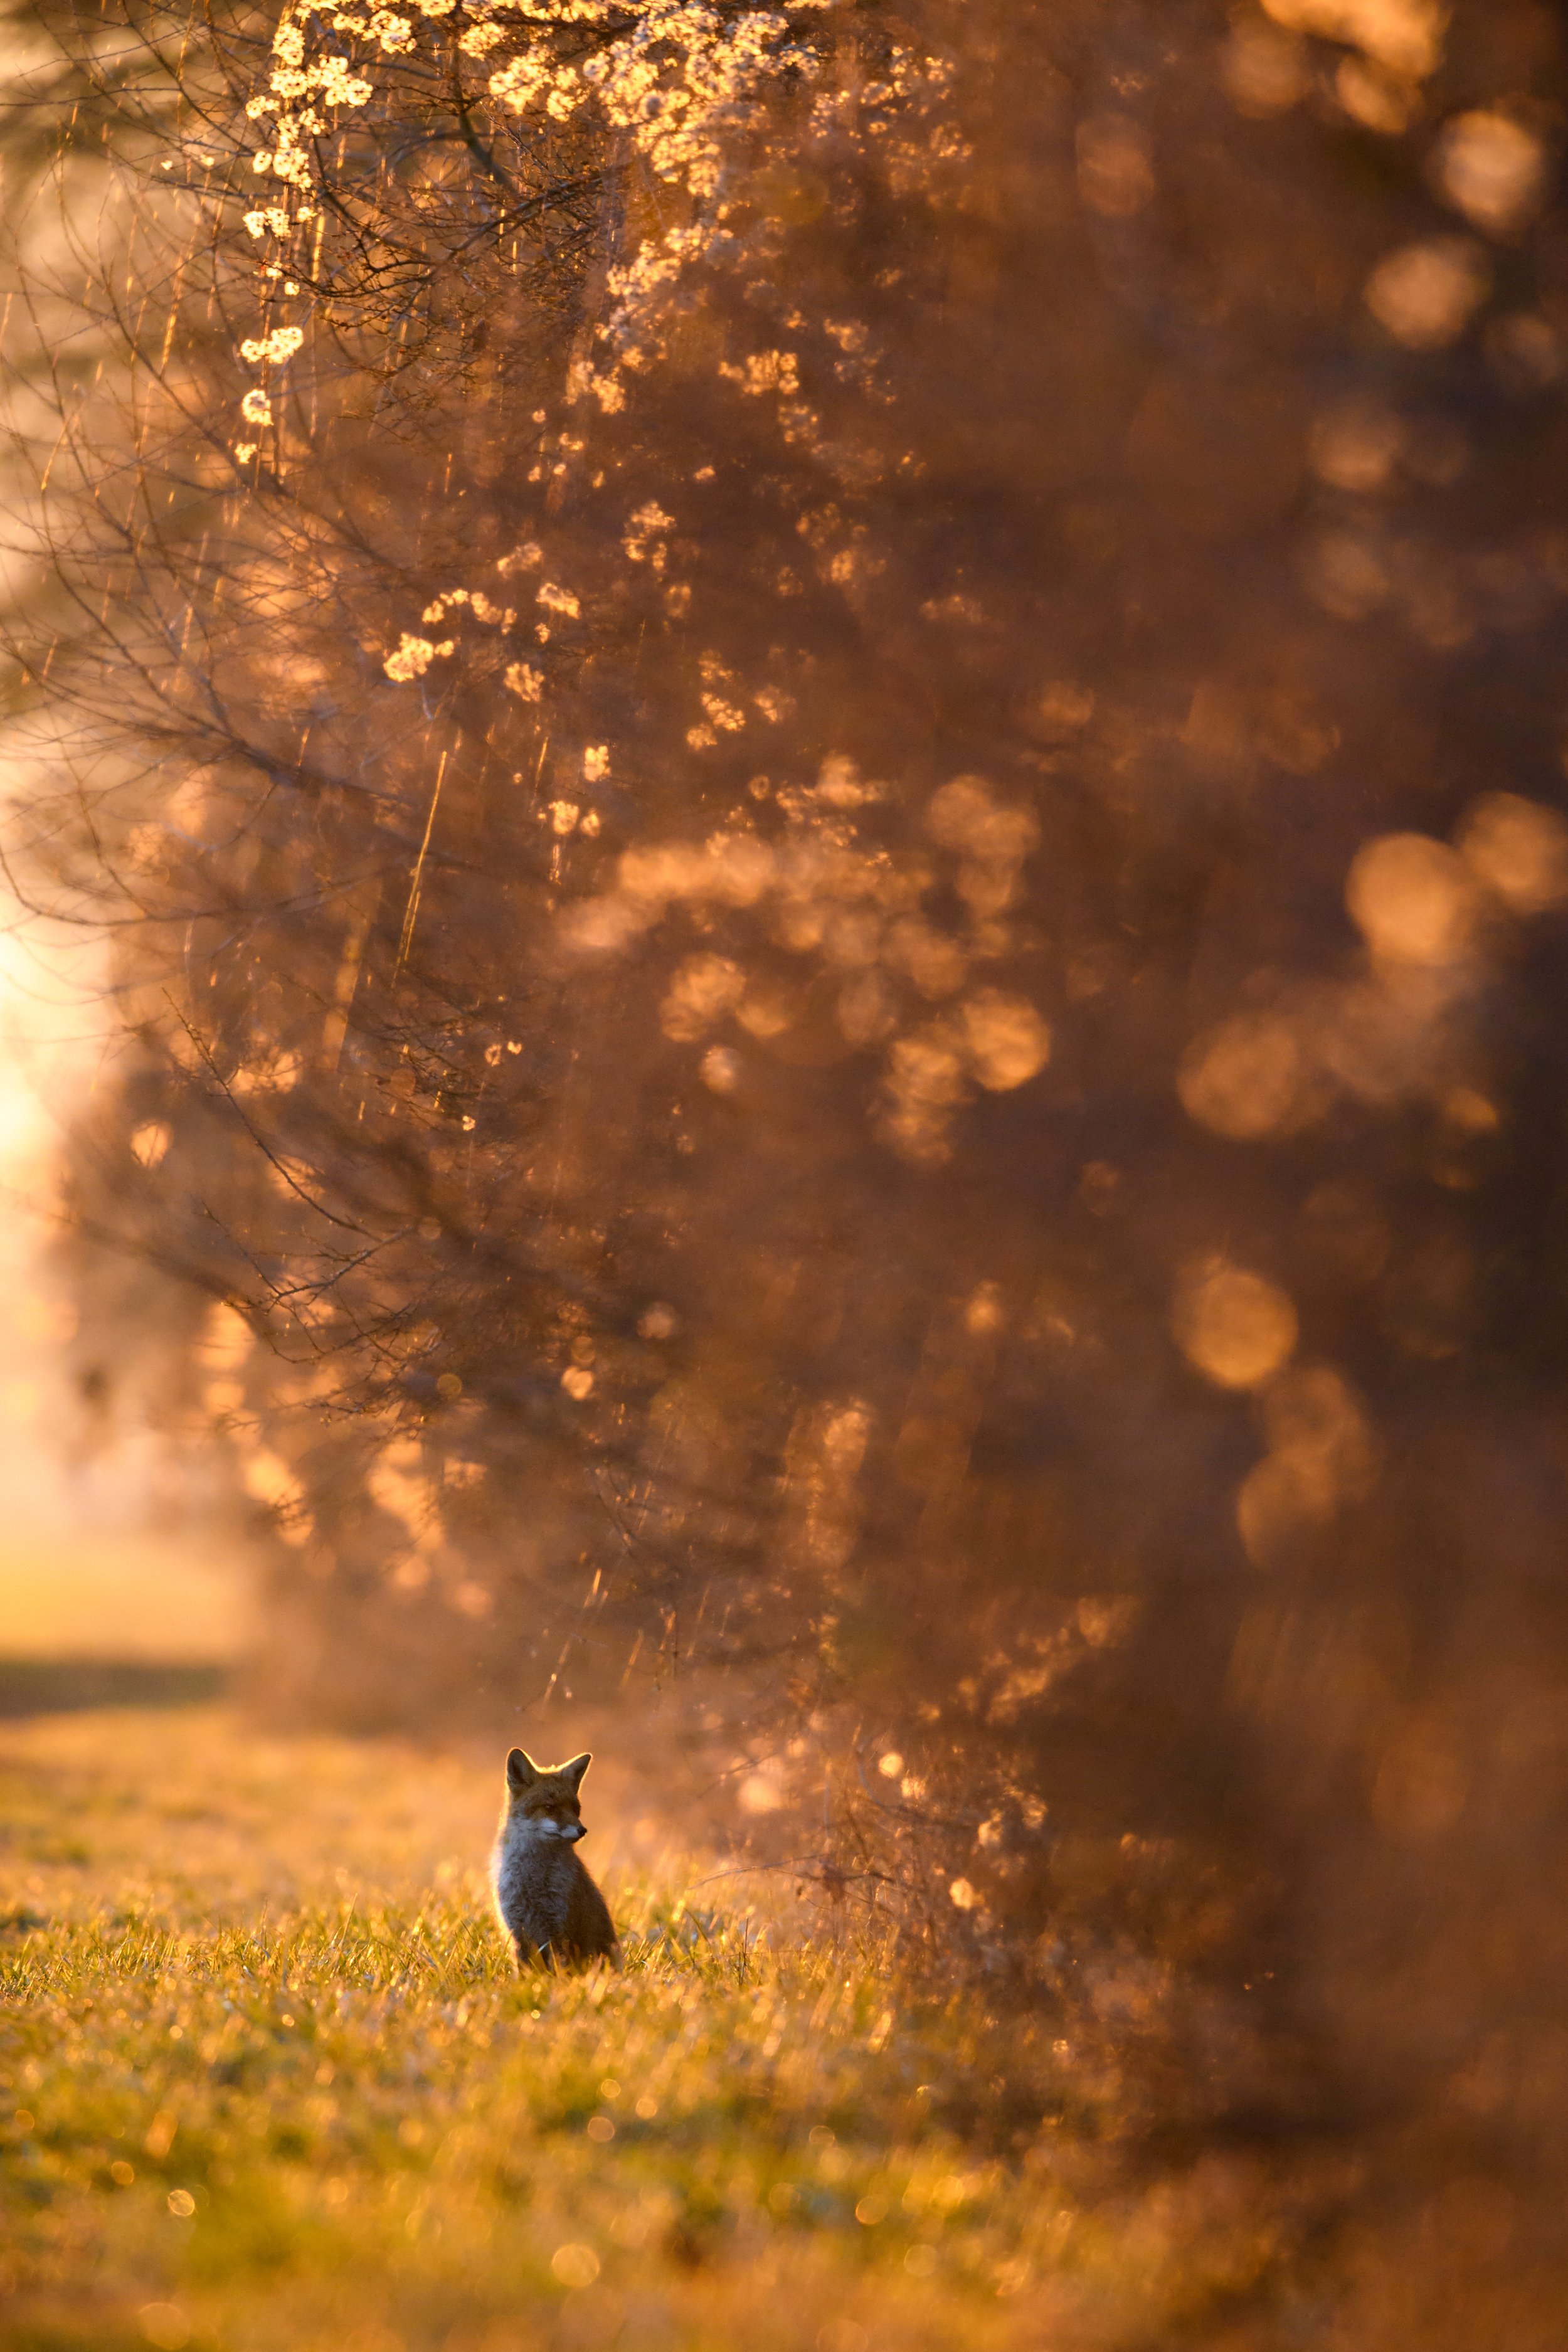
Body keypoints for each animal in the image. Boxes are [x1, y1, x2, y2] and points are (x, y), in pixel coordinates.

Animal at [491, 1747, 619, 1970]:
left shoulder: (558, 1928)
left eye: (576, 1809)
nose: (582, 1830)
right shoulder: (518, 1931)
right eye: (550, 1808)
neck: (532, 1880)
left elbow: (559, 1969)